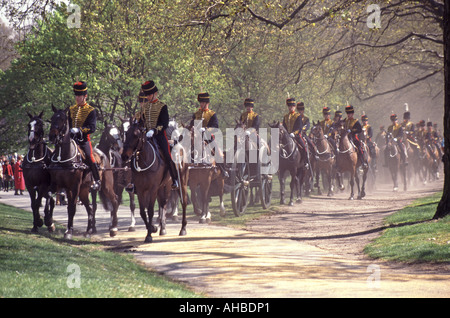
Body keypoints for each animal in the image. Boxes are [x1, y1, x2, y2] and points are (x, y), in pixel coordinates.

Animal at [48, 105, 119, 240]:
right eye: (52, 118)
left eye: (63, 119)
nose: (52, 136)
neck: (64, 158)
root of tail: (103, 155)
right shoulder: (58, 185)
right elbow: (51, 199)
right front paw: (50, 224)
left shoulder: (74, 187)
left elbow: (72, 208)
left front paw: (69, 232)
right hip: (84, 191)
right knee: (90, 209)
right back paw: (88, 231)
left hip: (105, 186)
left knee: (114, 200)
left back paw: (113, 228)